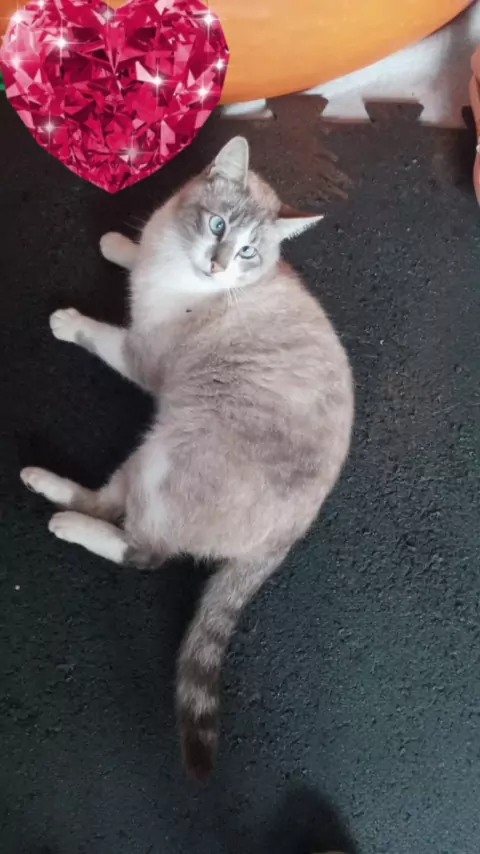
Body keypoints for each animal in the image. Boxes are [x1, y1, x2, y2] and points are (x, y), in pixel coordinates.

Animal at [20, 137, 354, 779]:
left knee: (143, 550)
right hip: (150, 453)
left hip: (164, 452)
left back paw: (64, 521)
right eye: (218, 226)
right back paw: (43, 482)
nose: (218, 266)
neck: (175, 264)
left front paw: (67, 321)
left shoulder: (138, 356)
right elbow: (130, 253)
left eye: (248, 252)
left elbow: (100, 335)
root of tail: (293, 532)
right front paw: (117, 243)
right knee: (109, 502)